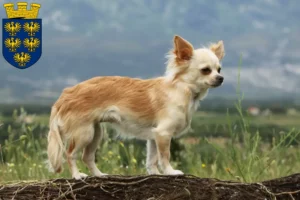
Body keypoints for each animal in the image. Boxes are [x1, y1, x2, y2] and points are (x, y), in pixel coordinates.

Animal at [47, 35, 225, 179]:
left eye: (219, 69)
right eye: (205, 70)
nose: (221, 78)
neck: (183, 89)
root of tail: (65, 95)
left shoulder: (154, 136)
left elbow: (152, 159)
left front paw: (155, 174)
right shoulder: (163, 133)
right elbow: (164, 156)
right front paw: (170, 172)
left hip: (95, 132)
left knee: (87, 157)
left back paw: (99, 175)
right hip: (84, 133)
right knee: (70, 154)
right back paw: (77, 175)